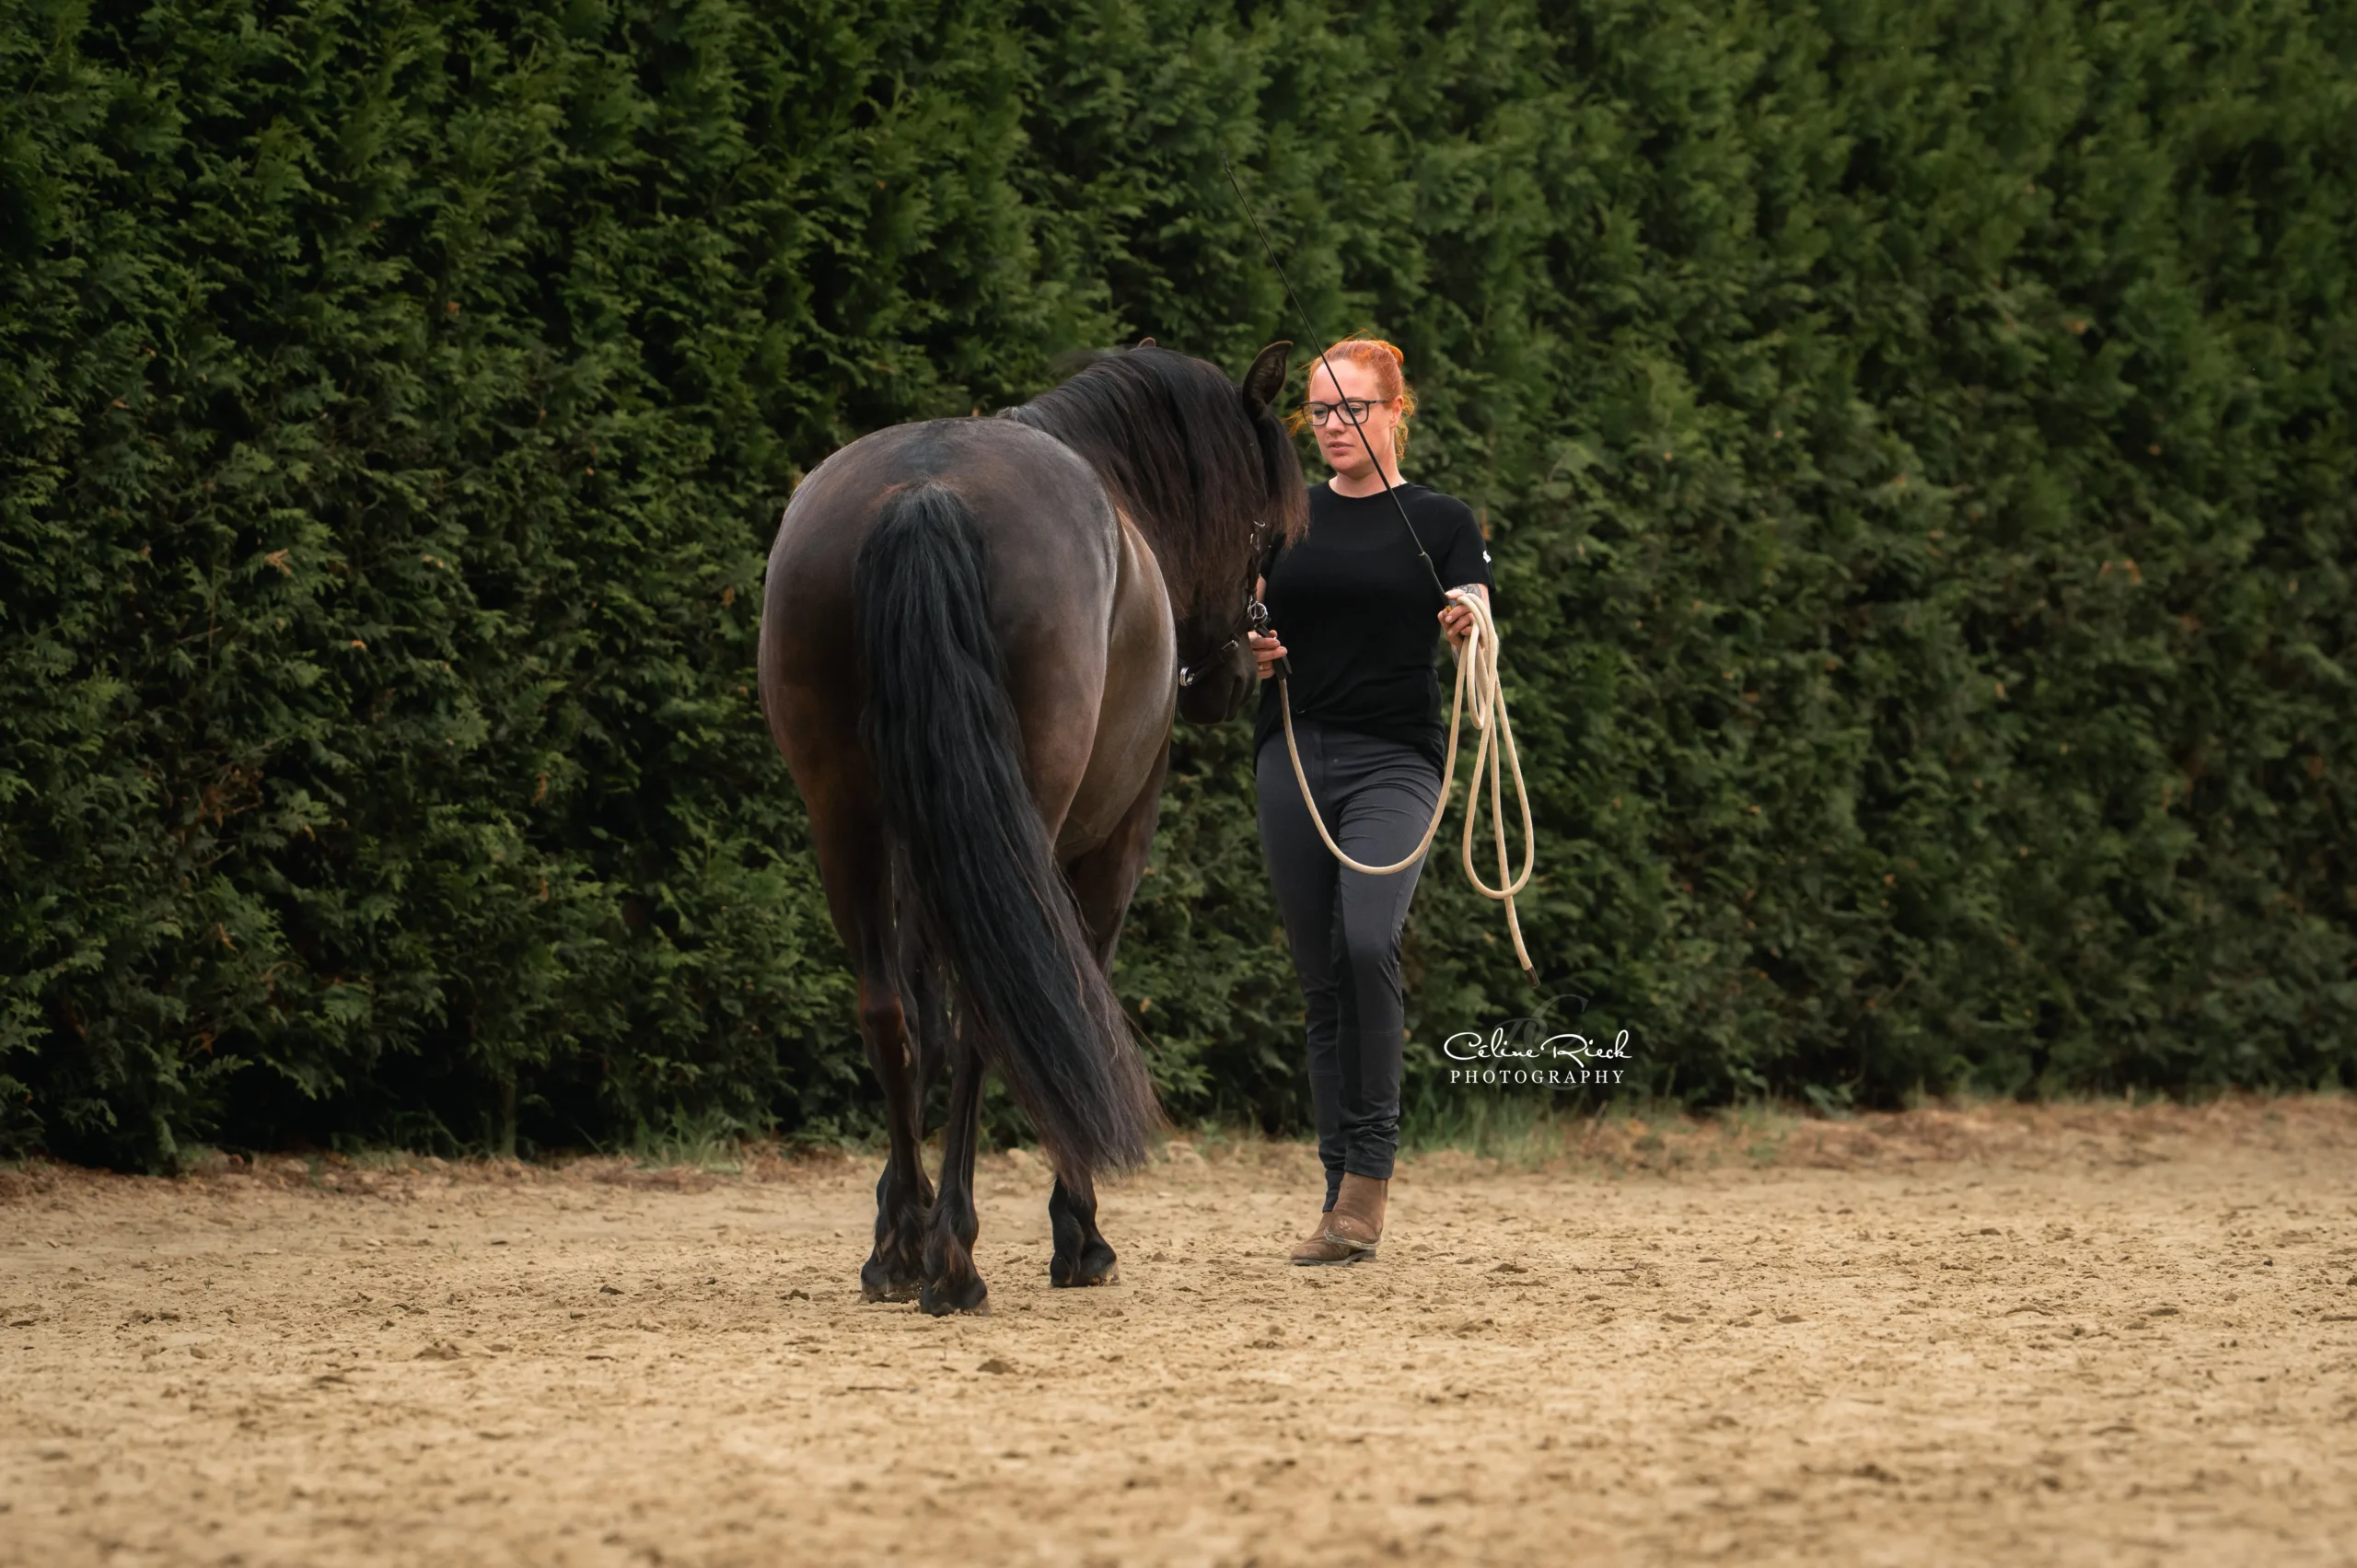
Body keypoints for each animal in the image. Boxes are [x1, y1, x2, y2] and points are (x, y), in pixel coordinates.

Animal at [757, 340, 1306, 1315]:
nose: (1242, 673)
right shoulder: (1114, 845)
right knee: (995, 1012)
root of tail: (923, 491)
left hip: (844, 818)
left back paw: (902, 1249)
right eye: (1267, 533)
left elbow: (926, 1020)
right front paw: (1078, 1231)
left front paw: (897, 1216)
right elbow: (1076, 998)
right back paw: (954, 1260)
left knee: (888, 1007)